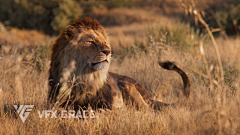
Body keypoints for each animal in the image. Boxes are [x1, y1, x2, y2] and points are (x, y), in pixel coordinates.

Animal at [47, 16, 190, 110]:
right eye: (90, 42)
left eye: (105, 42)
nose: (108, 51)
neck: (84, 77)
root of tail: (146, 94)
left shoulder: (111, 107)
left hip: (128, 87)